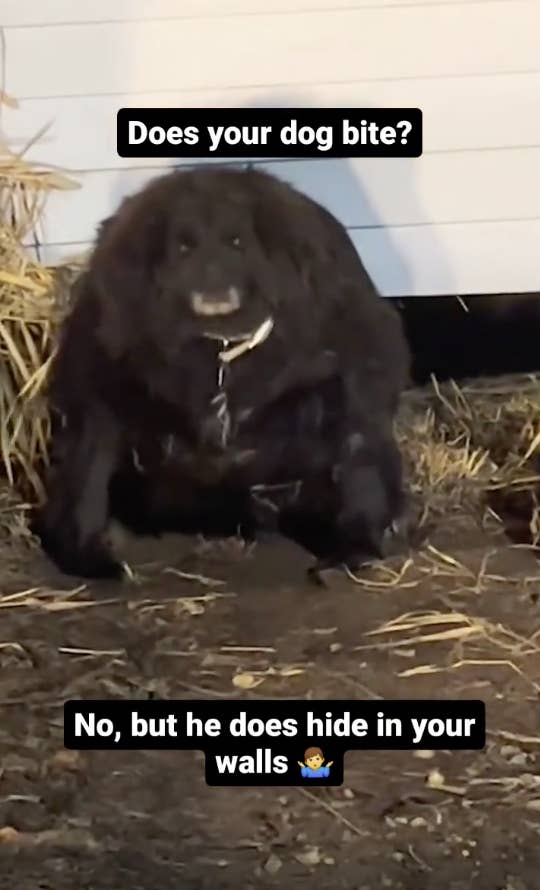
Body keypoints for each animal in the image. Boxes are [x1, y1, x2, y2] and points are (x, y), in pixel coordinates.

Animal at [31, 166, 412, 584]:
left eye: (237, 242)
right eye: (183, 247)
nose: (211, 279)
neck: (219, 349)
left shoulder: (355, 366)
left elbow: (359, 448)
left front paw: (354, 548)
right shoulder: (102, 373)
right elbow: (89, 471)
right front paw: (83, 552)